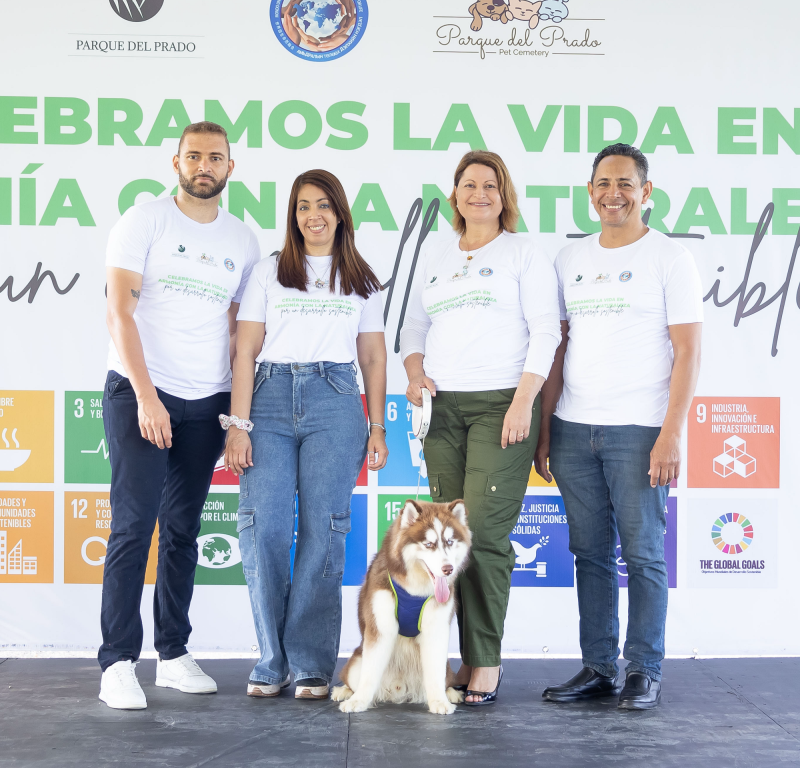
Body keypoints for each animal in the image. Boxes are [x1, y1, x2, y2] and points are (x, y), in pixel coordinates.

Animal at [330, 498, 468, 712]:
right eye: (429, 544)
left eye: (449, 542)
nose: (448, 569)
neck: (415, 589)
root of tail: (399, 688)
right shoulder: (380, 626)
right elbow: (369, 674)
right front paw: (358, 701)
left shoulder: (436, 629)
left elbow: (435, 673)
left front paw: (439, 701)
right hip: (355, 663)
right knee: (353, 678)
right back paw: (344, 691)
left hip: (445, 667)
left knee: (444, 678)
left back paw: (451, 692)